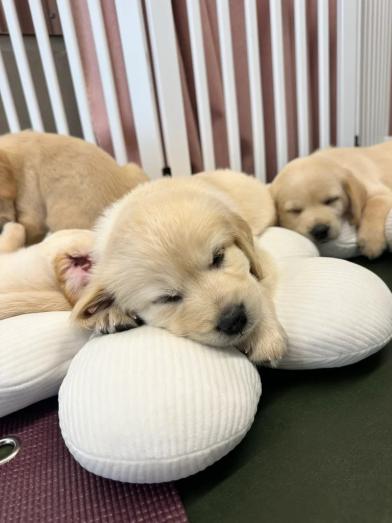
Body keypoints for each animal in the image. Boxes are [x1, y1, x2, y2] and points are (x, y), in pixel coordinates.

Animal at [72, 172, 288, 364]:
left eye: (218, 257)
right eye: (167, 298)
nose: (233, 319)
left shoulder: (259, 256)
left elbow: (256, 284)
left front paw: (263, 332)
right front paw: (110, 312)